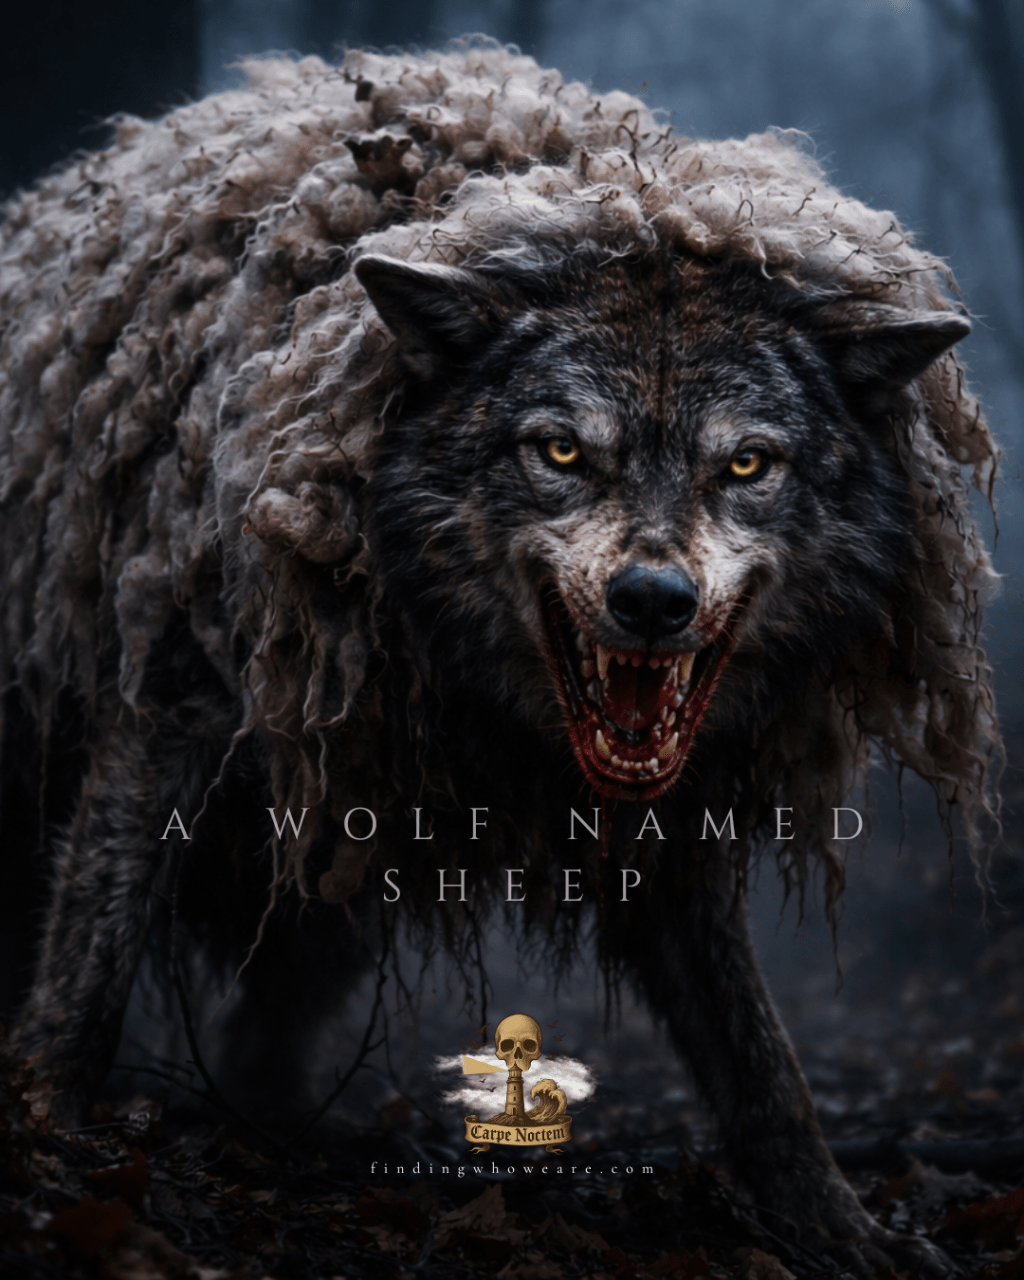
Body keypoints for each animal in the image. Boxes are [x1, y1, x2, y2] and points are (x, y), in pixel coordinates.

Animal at [0, 44, 999, 1275]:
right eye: (561, 451)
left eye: (746, 465)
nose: (653, 602)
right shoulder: (169, 707)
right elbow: (87, 964)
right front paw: (48, 1132)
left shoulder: (674, 824)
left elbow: (760, 1058)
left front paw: (837, 1228)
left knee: (268, 1027)